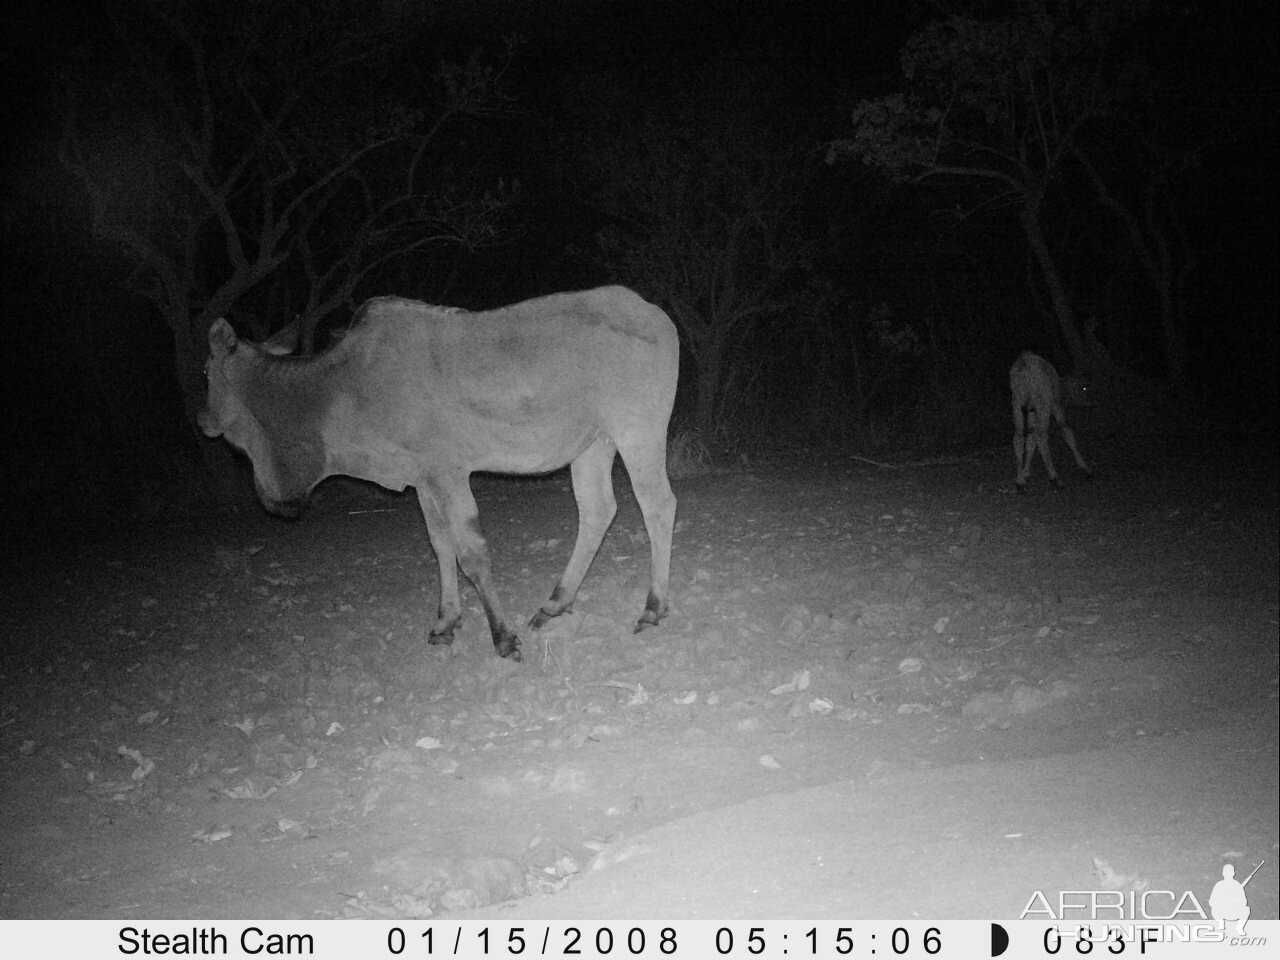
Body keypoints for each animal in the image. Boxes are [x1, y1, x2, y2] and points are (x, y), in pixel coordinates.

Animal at [199, 285, 680, 660]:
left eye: (206, 371)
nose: (202, 418)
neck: (341, 388)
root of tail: (657, 316)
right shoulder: (424, 480)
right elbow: (441, 545)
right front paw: (447, 620)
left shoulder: (448, 474)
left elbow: (472, 552)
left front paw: (503, 638)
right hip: (593, 445)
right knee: (598, 510)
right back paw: (555, 603)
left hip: (637, 431)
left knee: (658, 505)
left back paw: (653, 607)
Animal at [1008, 350, 1090, 491]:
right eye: (1082, 387)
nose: (1085, 403)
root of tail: (1024, 367)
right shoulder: (1055, 403)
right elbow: (1066, 430)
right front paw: (1084, 466)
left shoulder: (1031, 409)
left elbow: (1030, 439)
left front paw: (1025, 473)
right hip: (1042, 402)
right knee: (1041, 436)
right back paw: (1055, 477)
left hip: (1017, 402)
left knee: (1018, 436)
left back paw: (1019, 481)